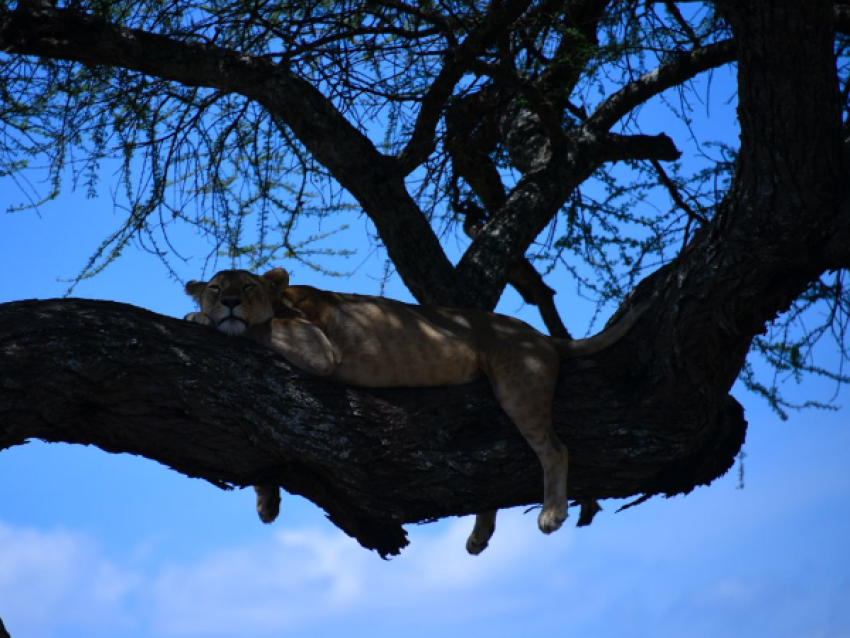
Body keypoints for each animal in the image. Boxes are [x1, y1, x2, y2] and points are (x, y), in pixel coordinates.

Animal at [182, 268, 640, 556]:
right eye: (214, 286)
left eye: (246, 286)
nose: (229, 302)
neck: (283, 301)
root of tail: (542, 336)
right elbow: (267, 455)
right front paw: (267, 503)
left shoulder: (318, 351)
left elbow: (257, 329)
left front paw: (198, 318)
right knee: (491, 482)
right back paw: (479, 537)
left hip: (519, 387)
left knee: (555, 450)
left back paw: (552, 514)